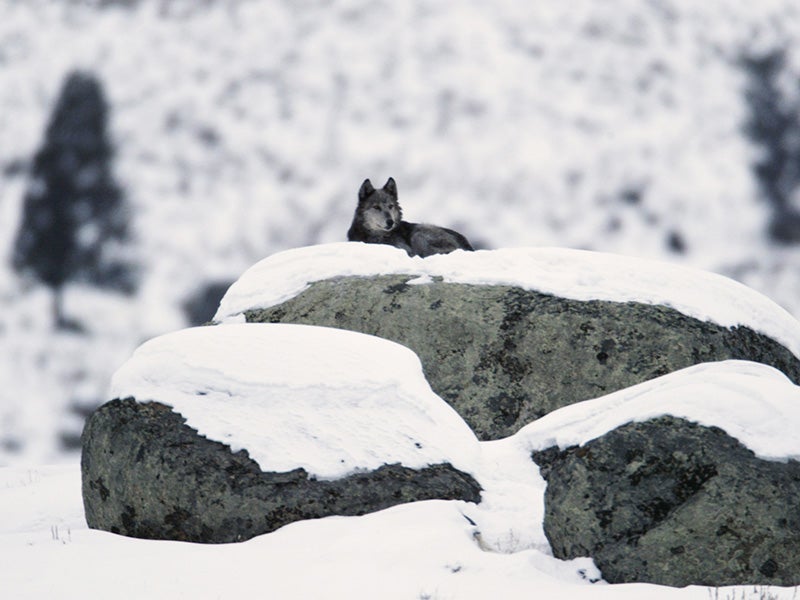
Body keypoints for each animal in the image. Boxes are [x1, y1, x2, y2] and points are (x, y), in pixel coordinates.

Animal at [346, 176, 476, 255]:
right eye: (376, 207)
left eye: (390, 206)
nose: (390, 222)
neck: (377, 236)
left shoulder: (405, 248)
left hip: (418, 235)